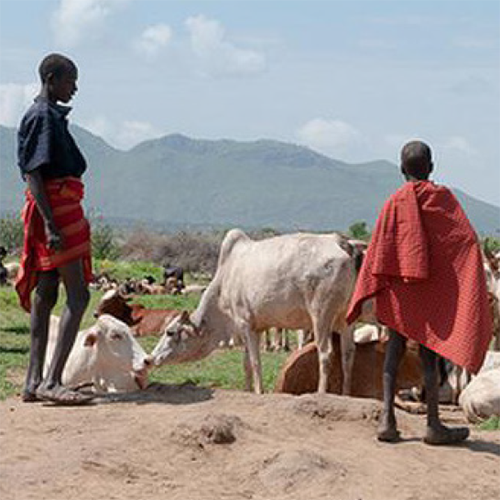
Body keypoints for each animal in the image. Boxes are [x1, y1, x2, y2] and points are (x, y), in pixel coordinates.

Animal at [150, 228, 362, 394]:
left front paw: (259, 391)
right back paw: (346, 393)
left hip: (321, 316)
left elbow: (254, 363)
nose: (151, 358)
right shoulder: (253, 328)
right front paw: (247, 390)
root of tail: (341, 242)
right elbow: (246, 364)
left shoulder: (246, 325)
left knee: (325, 353)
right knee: (348, 354)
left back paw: (321, 393)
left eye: (170, 332)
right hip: (347, 319)